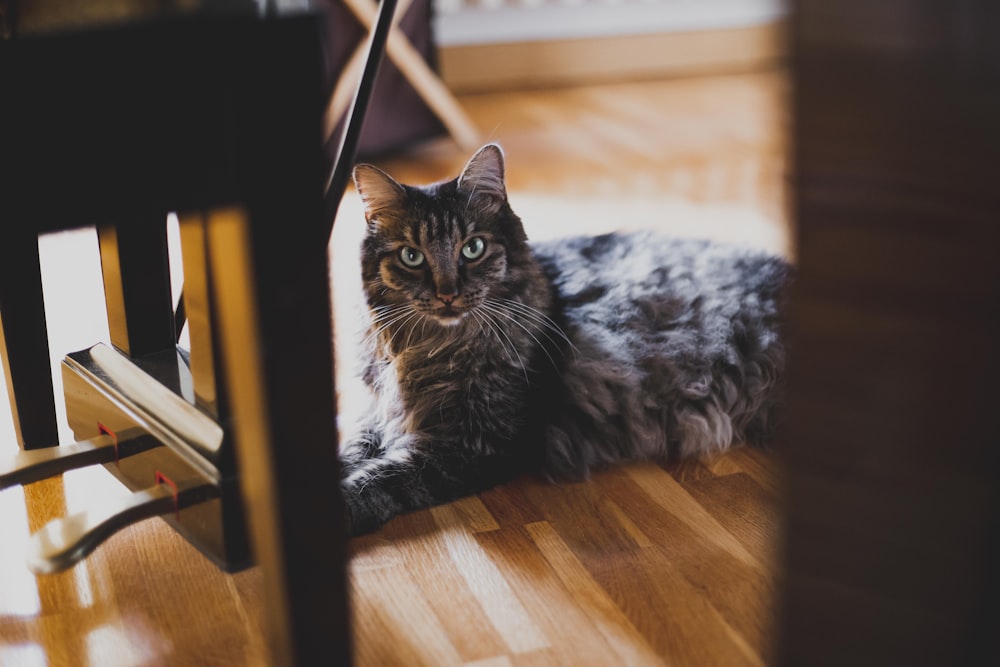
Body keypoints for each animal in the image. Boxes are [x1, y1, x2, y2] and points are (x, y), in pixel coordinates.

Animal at [340, 144, 792, 536]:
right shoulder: (378, 415)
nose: (447, 293)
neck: (427, 349)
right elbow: (350, 451)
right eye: (411, 256)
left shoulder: (476, 445)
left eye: (473, 248)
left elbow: (383, 478)